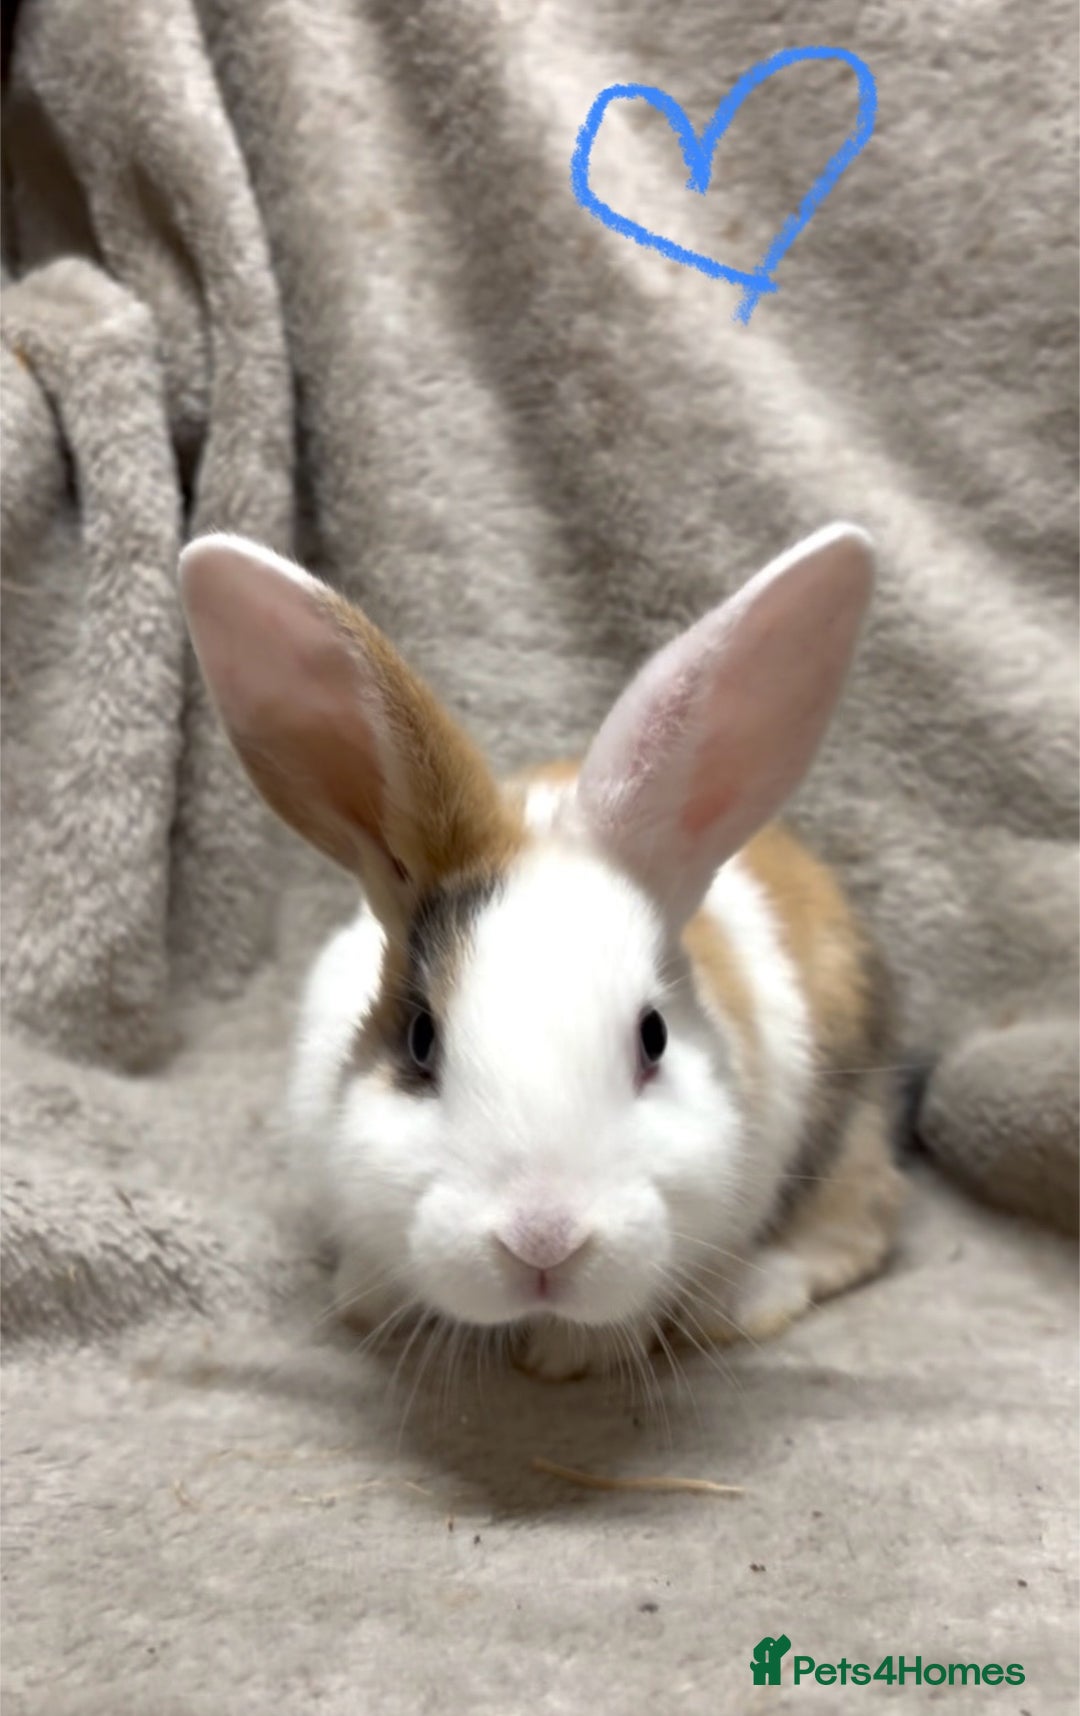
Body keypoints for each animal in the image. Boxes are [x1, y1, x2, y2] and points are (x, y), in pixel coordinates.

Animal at [179, 523, 906, 1382]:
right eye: (421, 1039)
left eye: (655, 1037)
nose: (543, 1242)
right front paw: (369, 1306)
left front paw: (570, 1356)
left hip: (846, 1124)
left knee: (865, 1219)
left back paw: (745, 1298)